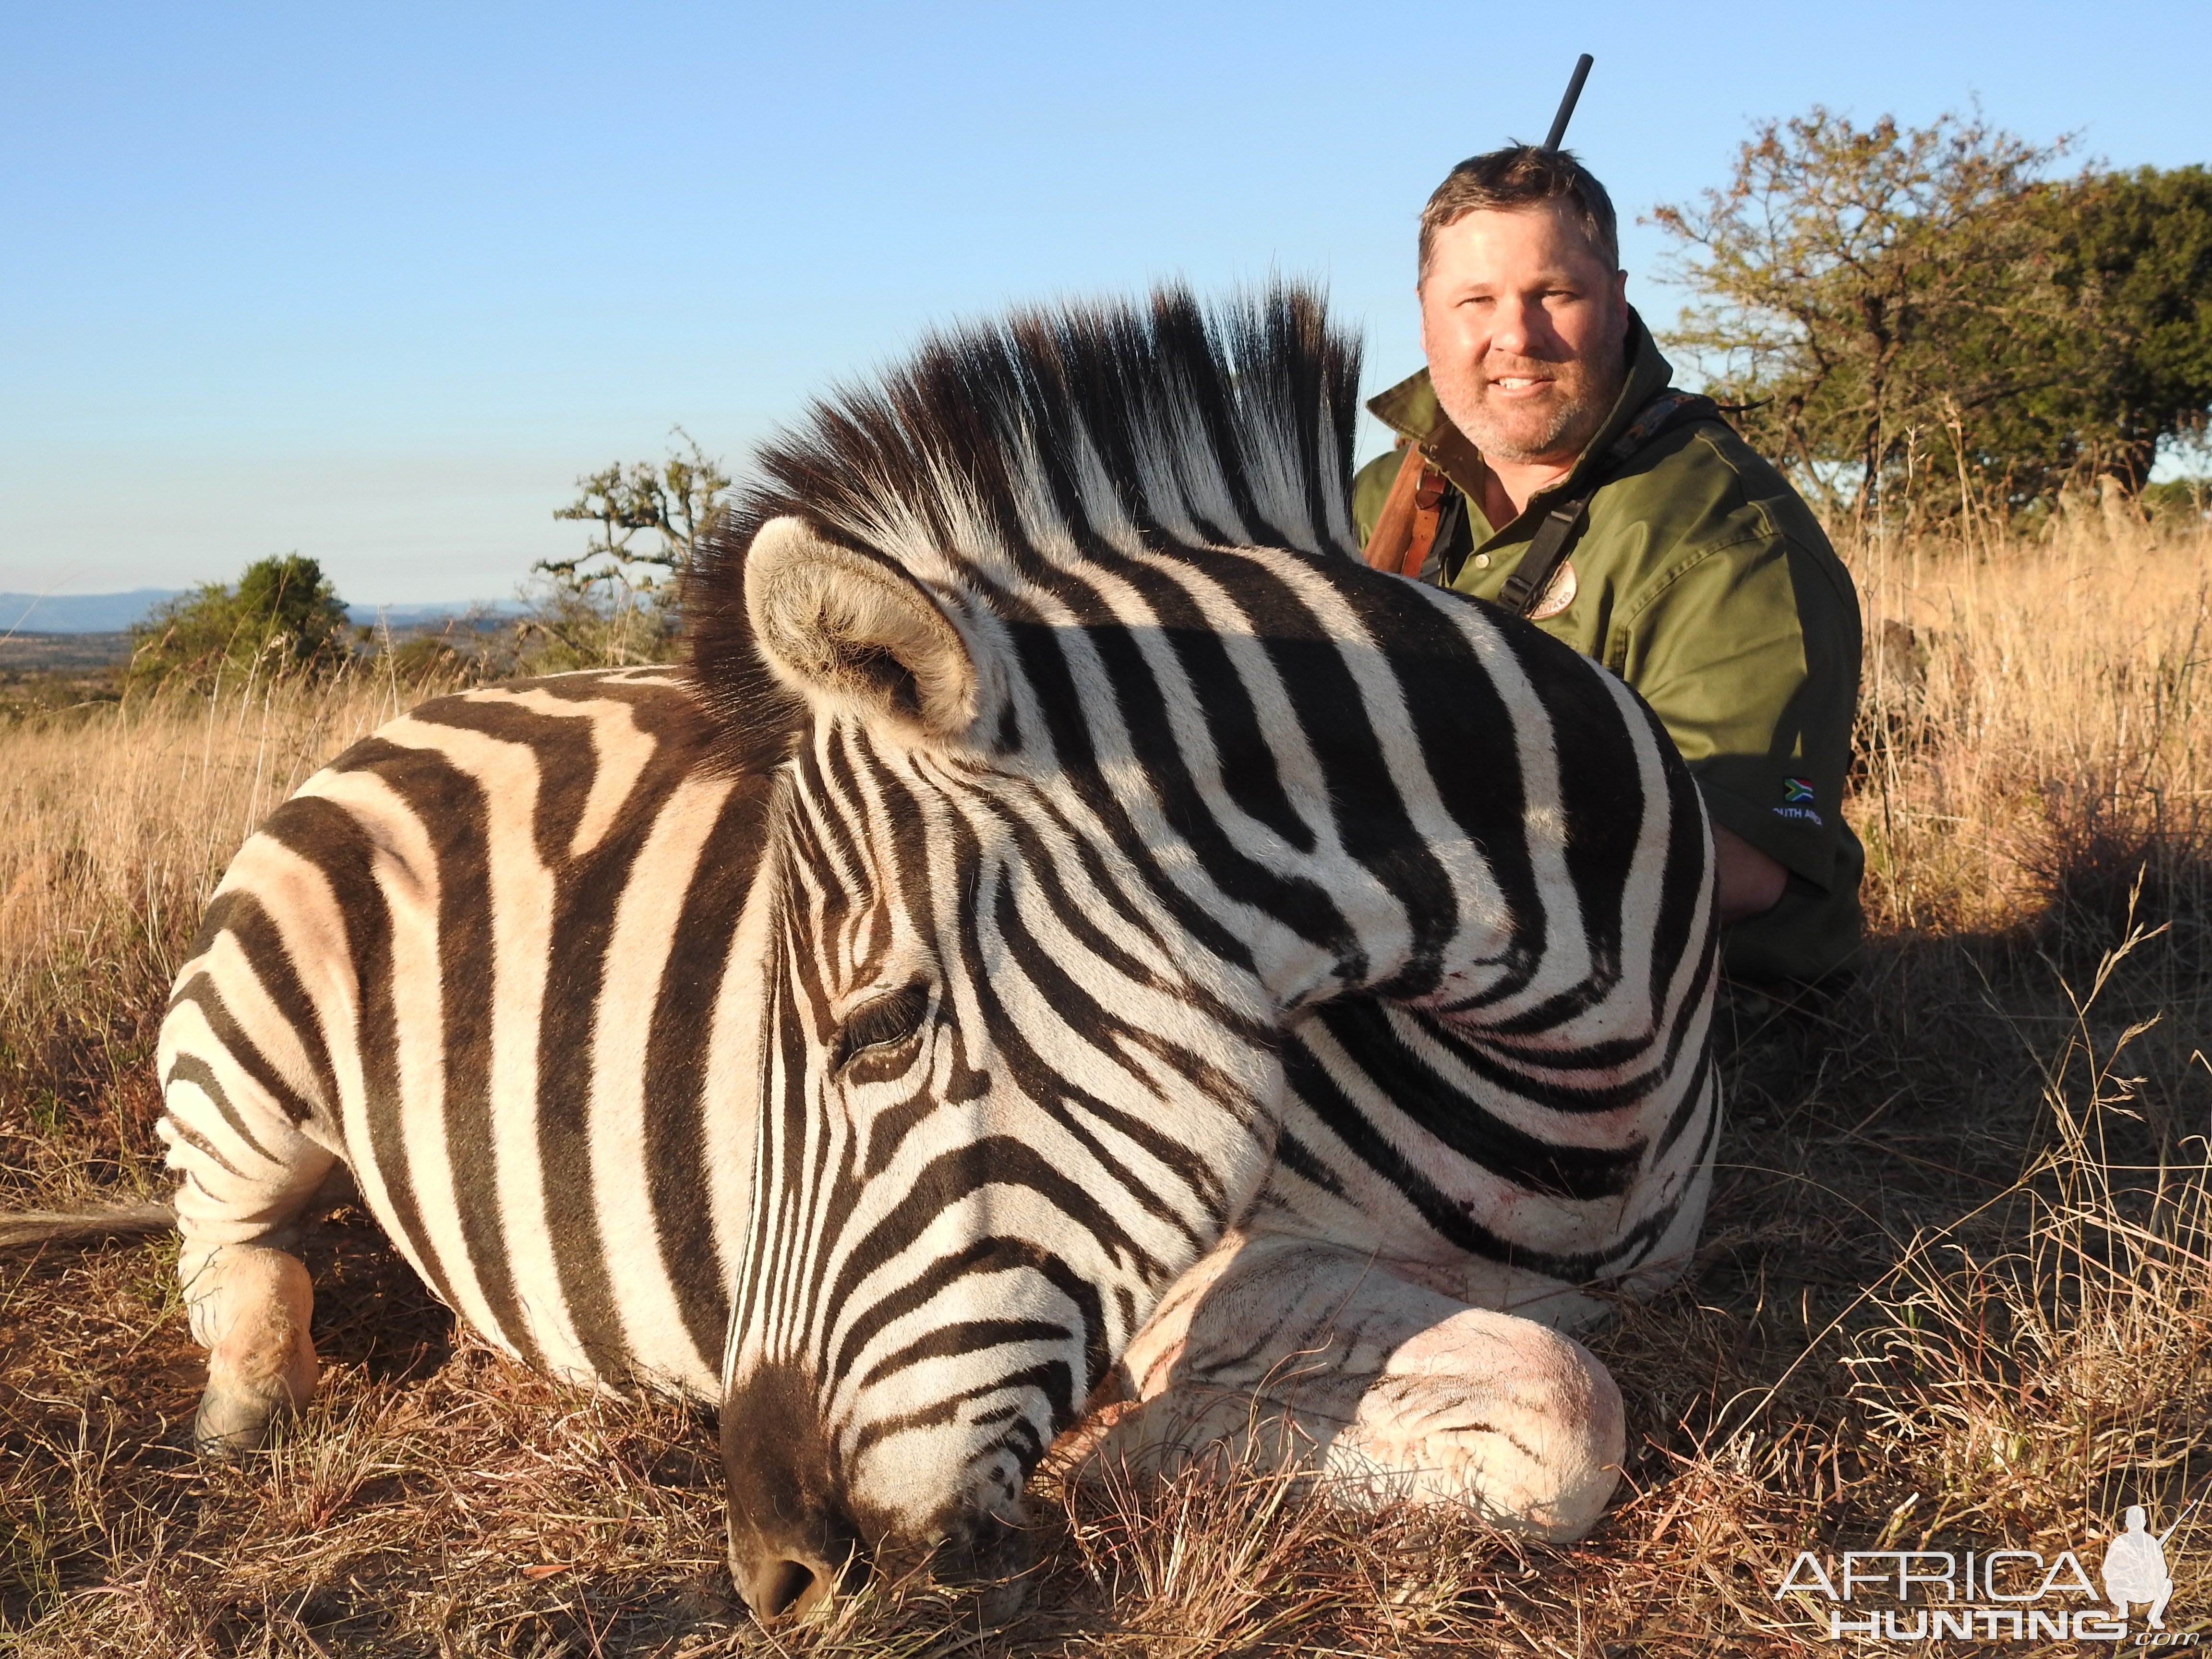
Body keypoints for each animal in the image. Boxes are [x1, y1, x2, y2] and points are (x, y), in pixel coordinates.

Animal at [138, 283, 1716, 1628]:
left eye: (882, 1027)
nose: (773, 1569)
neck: (1585, 1088)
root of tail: (412, 711)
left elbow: (1558, 1383)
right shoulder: (1209, 1275)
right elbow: (1567, 1407)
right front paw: (1129, 1447)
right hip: (241, 1064)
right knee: (233, 1255)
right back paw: (243, 1409)